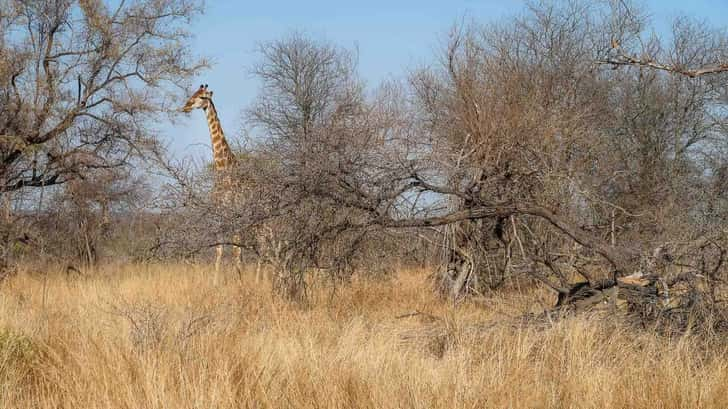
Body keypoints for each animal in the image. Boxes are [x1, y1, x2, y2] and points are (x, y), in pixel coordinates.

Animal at [181, 83, 243, 280]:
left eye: (203, 97)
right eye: (193, 93)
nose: (185, 106)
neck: (222, 168)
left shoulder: (235, 212)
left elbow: (236, 249)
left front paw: (240, 280)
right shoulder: (219, 213)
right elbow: (220, 249)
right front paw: (215, 282)